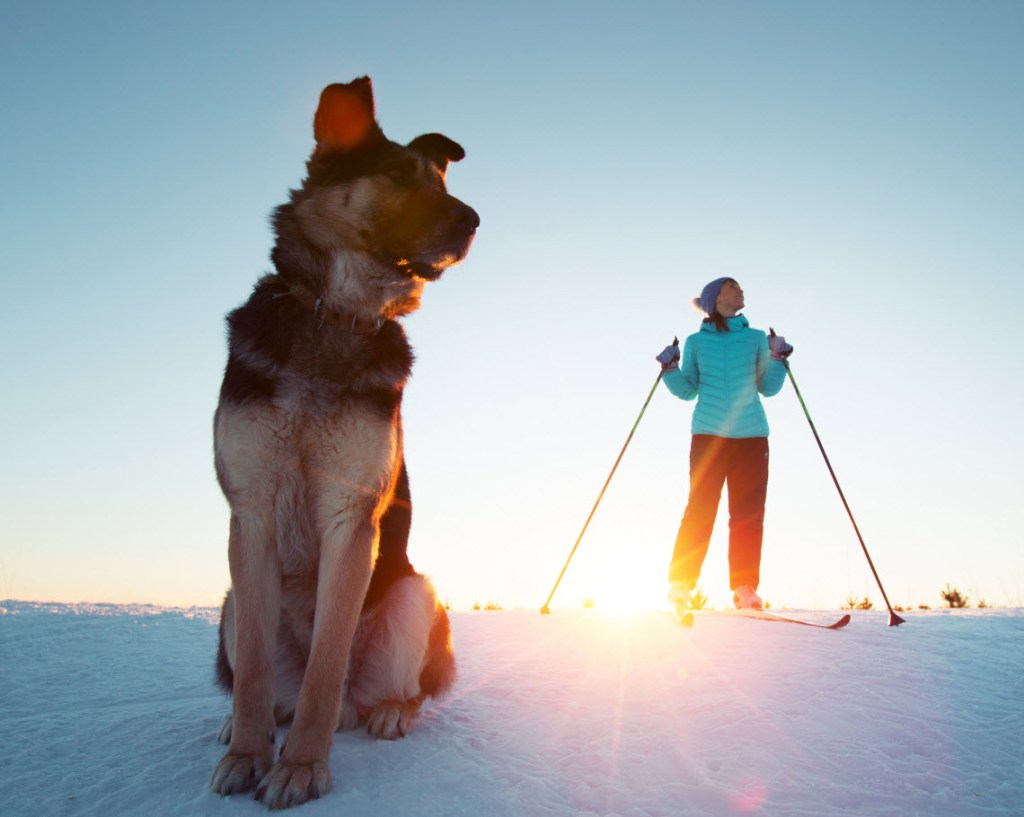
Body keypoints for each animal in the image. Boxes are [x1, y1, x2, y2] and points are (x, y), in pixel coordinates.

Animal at [211, 78, 475, 810]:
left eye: (439, 181)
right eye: (395, 175)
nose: (473, 219)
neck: (333, 316)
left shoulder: (350, 519)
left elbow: (325, 670)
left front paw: (301, 766)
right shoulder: (252, 514)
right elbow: (253, 680)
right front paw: (248, 754)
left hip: (415, 593)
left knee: (383, 691)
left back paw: (388, 711)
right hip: (231, 601)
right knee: (270, 686)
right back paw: (241, 725)